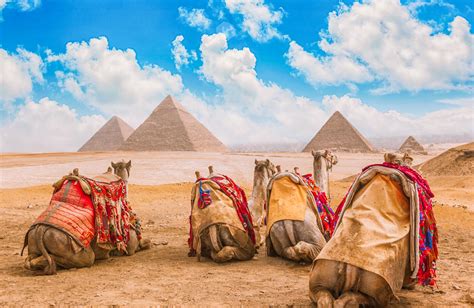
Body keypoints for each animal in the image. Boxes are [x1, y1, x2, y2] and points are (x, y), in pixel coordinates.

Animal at [22, 160, 150, 276]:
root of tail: (40, 230)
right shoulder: (130, 244)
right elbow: (144, 244)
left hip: (34, 238)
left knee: (30, 261)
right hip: (68, 244)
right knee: (87, 258)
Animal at [308, 153, 436, 306]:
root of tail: (347, 265)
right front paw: (411, 285)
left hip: (319, 280)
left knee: (325, 297)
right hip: (377, 290)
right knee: (358, 299)